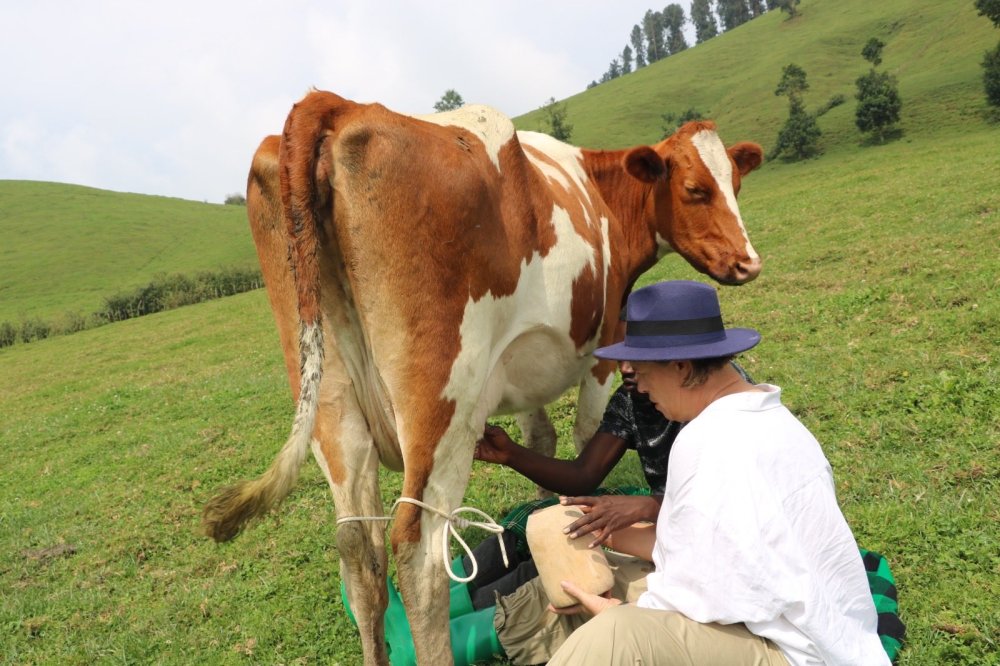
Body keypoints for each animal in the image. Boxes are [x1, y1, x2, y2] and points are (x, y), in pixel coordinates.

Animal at [203, 89, 763, 665]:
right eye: (696, 190)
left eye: (737, 184)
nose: (748, 262)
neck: (599, 193)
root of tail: (341, 105)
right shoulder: (605, 345)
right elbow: (585, 436)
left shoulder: (522, 367)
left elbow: (541, 439)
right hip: (443, 404)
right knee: (421, 553)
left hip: (331, 405)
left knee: (359, 552)